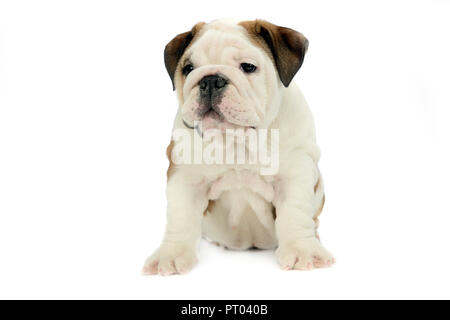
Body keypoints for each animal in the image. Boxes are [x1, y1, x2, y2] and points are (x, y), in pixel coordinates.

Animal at [143, 19, 334, 276]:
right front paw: (171, 255)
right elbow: (181, 218)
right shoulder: (184, 177)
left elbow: (295, 212)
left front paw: (302, 250)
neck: (236, 141)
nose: (210, 80)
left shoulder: (296, 174)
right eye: (188, 68)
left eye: (248, 67)